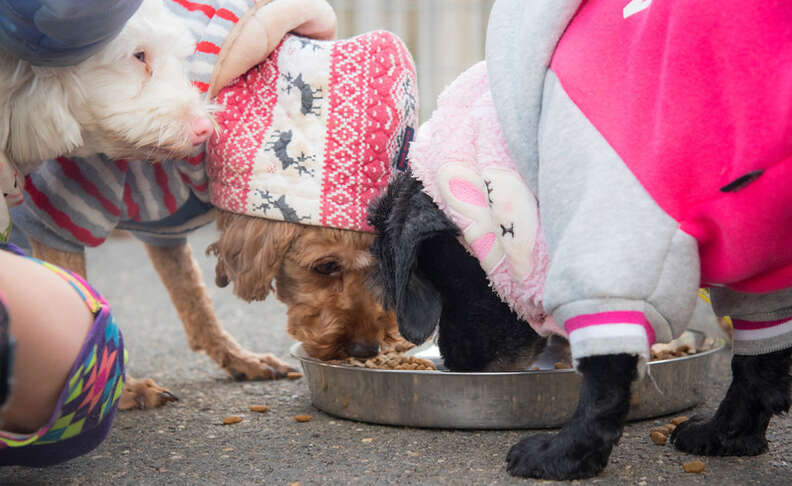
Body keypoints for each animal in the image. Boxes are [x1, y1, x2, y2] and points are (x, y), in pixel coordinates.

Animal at [370, 170, 792, 478]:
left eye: (447, 275)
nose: (459, 363)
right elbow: (755, 361)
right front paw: (728, 433)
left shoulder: (609, 257)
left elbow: (604, 379)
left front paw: (563, 455)